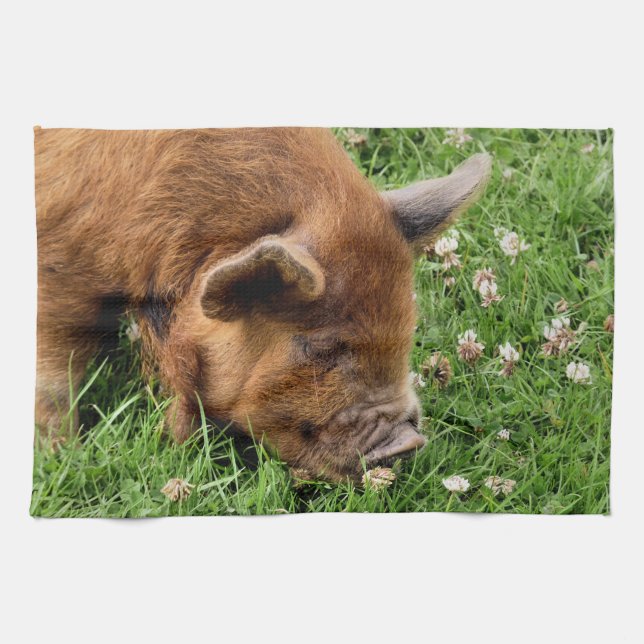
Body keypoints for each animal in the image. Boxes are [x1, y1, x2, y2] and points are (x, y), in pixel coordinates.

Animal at [35, 127, 491, 481]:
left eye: (407, 331)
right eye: (319, 346)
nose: (408, 442)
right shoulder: (57, 273)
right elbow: (54, 378)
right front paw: (61, 451)